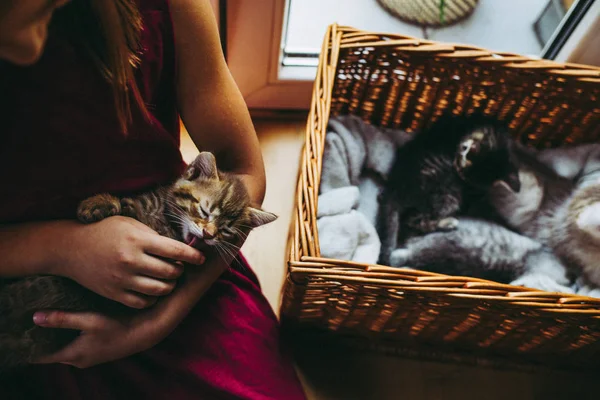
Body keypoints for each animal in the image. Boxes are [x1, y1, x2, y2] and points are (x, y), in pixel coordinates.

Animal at [0, 152, 276, 368]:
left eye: (226, 231)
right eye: (204, 210)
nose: (208, 235)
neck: (166, 222)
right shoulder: (140, 204)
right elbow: (124, 205)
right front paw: (98, 203)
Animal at [380, 114, 520, 266]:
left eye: (463, 174)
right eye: (460, 171)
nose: (457, 171)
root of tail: (395, 187)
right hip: (447, 194)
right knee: (414, 221)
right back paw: (447, 223)